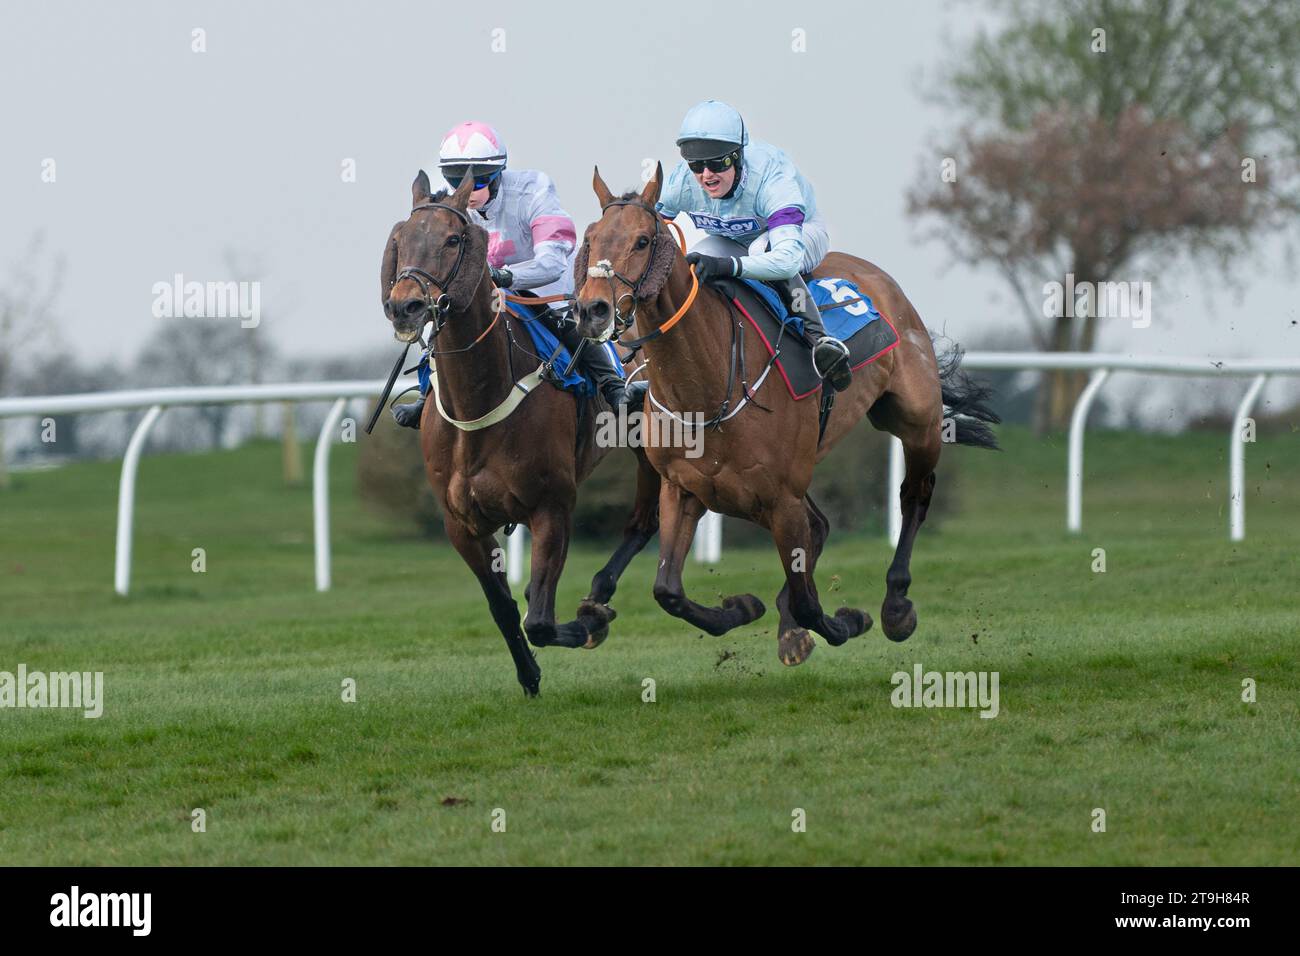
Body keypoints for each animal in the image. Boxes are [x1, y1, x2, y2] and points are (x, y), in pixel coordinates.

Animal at [377, 170, 660, 697]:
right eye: (400, 241)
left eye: (453, 239)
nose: (405, 306)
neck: (479, 401)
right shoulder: (462, 524)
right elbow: (505, 609)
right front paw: (528, 675)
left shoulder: (552, 506)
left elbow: (541, 621)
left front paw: (589, 624)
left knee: (644, 522)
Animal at [574, 166, 998, 665]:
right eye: (590, 238)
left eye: (642, 241)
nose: (591, 309)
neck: (708, 387)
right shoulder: (683, 489)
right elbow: (668, 591)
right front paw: (743, 608)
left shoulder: (782, 498)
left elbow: (809, 601)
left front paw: (845, 622)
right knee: (823, 526)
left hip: (917, 420)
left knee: (914, 497)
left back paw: (895, 606)